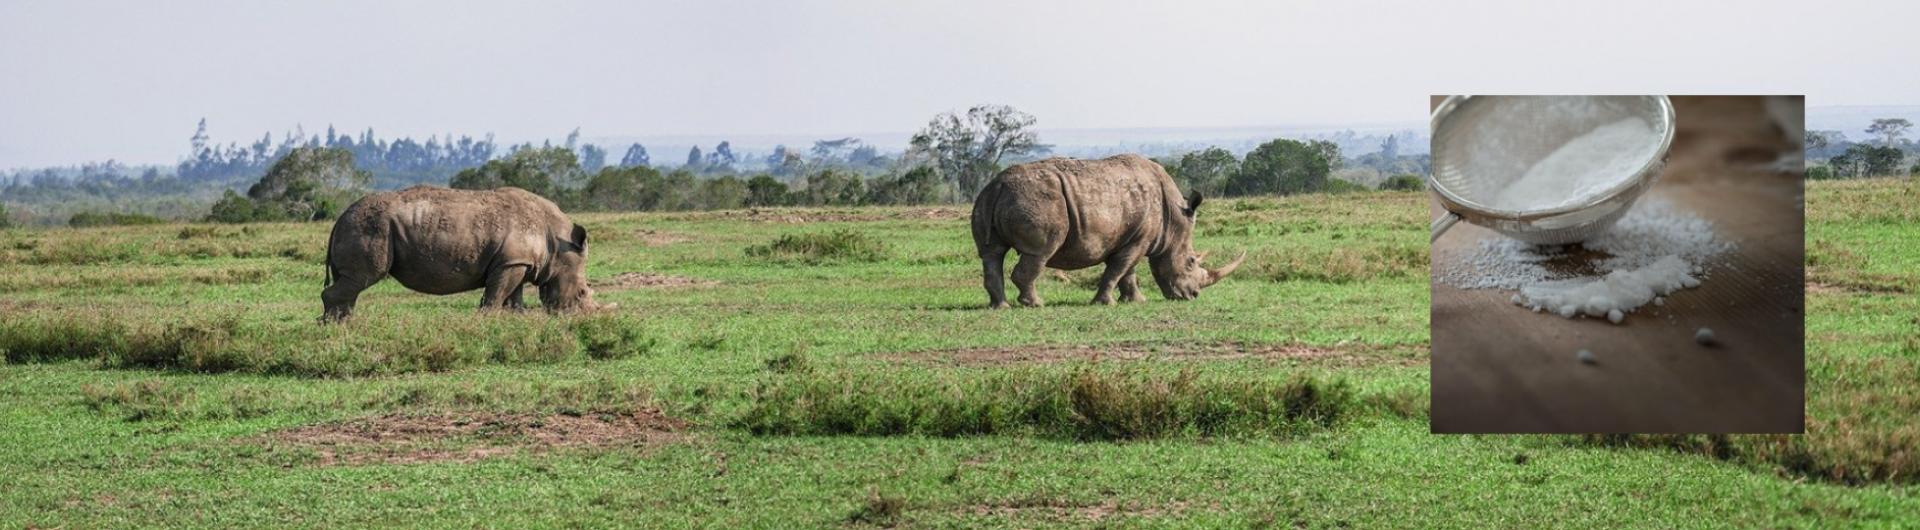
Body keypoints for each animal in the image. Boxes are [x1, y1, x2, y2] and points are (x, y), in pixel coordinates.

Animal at [967, 155, 1251, 309]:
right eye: (1191, 261)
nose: (1193, 296)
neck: (1174, 219)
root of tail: (998, 185)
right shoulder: (1139, 240)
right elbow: (1118, 269)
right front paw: (1106, 302)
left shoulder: (1132, 238)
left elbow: (1128, 272)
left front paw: (1136, 301)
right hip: (1039, 202)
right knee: (1039, 253)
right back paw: (1036, 304)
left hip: (988, 199)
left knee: (991, 253)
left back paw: (999, 306)